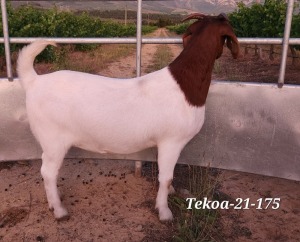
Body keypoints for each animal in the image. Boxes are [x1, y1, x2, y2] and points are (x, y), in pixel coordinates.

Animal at [18, 12, 239, 221]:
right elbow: (166, 177)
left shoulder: (163, 143)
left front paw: (170, 192)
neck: (184, 86)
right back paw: (59, 211)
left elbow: (166, 175)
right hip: (53, 138)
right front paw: (164, 212)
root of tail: (33, 81)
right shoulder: (172, 141)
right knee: (48, 172)